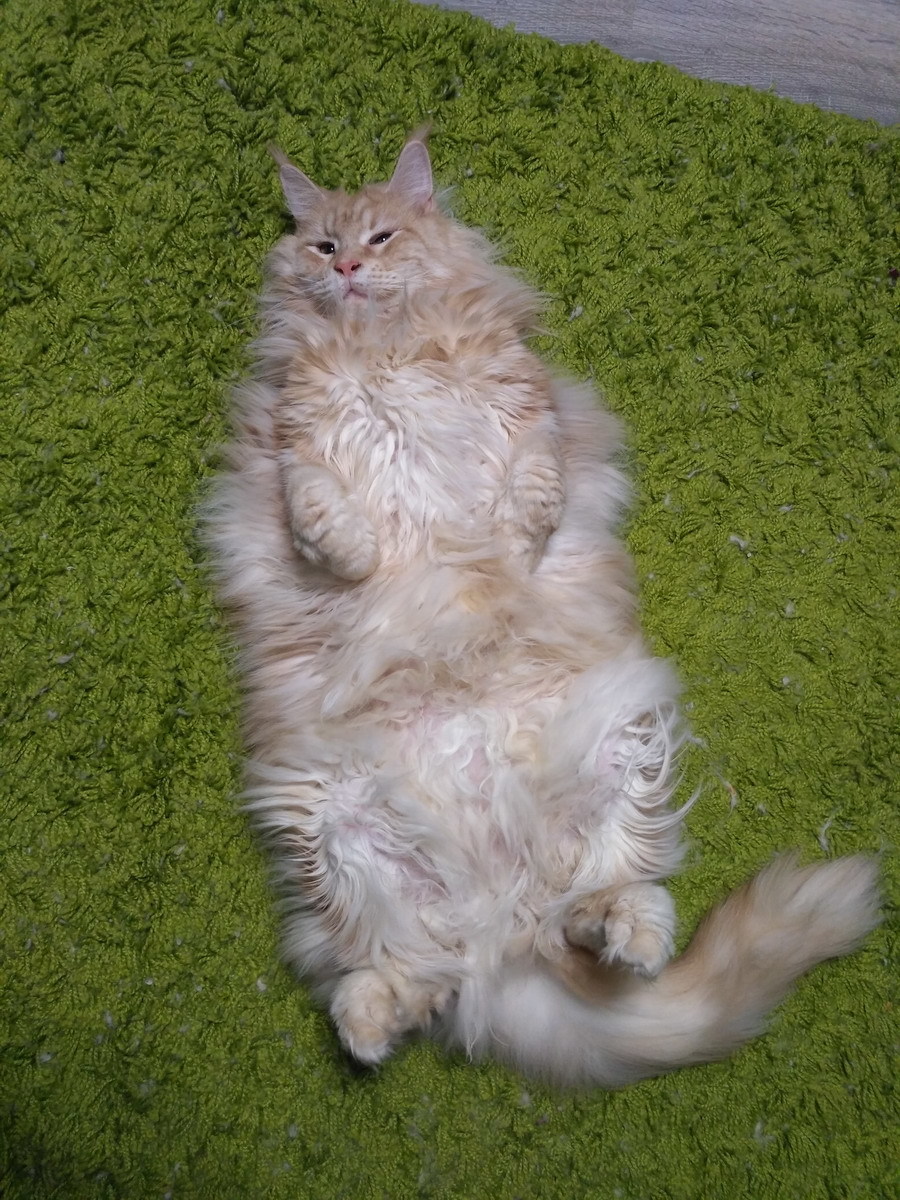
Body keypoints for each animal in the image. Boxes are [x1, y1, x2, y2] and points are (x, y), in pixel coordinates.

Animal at [199, 131, 883, 1089]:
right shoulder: (292, 440)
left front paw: (513, 547)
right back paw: (368, 1029)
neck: (384, 342)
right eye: (323, 245)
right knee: (413, 975)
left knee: (611, 901)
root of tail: (501, 926)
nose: (347, 270)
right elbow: (321, 507)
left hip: (618, 745)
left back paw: (624, 935)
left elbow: (533, 476)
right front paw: (360, 558)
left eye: (379, 237)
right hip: (333, 832)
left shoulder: (527, 401)